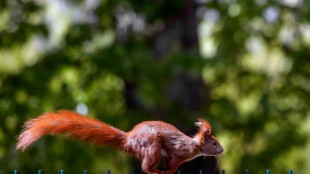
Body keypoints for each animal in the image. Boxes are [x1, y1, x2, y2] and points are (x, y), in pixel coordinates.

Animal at [17, 111, 223, 173]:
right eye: (214, 143)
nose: (222, 150)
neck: (194, 147)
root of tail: (129, 138)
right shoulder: (177, 151)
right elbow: (172, 164)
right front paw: (169, 172)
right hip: (152, 145)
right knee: (145, 167)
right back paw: (156, 171)